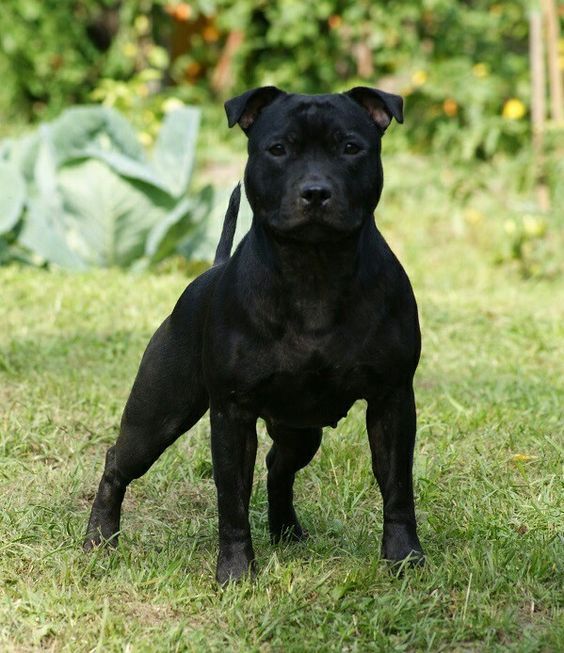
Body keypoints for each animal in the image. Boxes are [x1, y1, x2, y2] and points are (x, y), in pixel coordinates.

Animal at [85, 85, 424, 580]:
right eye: (278, 149)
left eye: (350, 147)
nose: (315, 192)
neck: (313, 269)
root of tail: (210, 271)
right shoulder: (232, 414)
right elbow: (232, 500)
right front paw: (235, 571)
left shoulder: (392, 399)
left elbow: (397, 485)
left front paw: (403, 556)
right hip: (157, 415)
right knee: (118, 461)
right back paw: (99, 538)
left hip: (301, 429)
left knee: (278, 466)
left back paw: (286, 530)